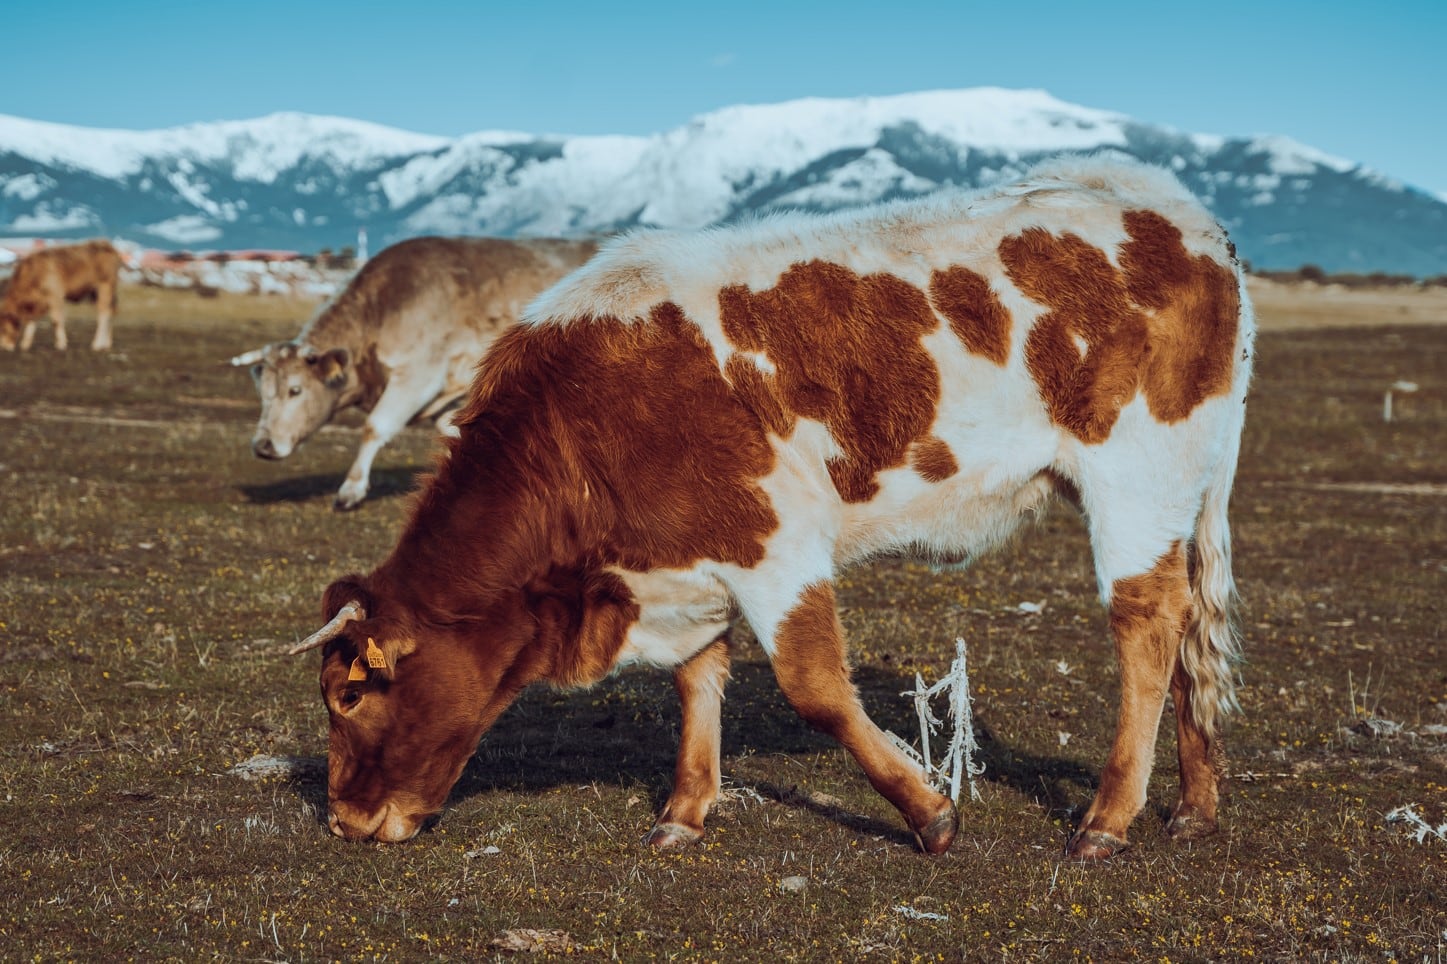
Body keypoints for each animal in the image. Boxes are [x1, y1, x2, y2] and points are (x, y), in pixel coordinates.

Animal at [234, 235, 596, 506]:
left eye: (295, 390)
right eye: (263, 394)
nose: (263, 446)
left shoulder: (419, 376)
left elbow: (375, 427)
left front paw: (350, 490)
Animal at [290, 154, 1255, 856]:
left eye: (350, 695)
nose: (343, 820)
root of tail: (1171, 205)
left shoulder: (774, 545)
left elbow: (814, 689)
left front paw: (928, 813)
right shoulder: (688, 560)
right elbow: (696, 679)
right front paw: (685, 808)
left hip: (1137, 477)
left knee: (1147, 626)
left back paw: (1107, 818)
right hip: (1182, 489)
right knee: (1186, 629)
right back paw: (1194, 805)